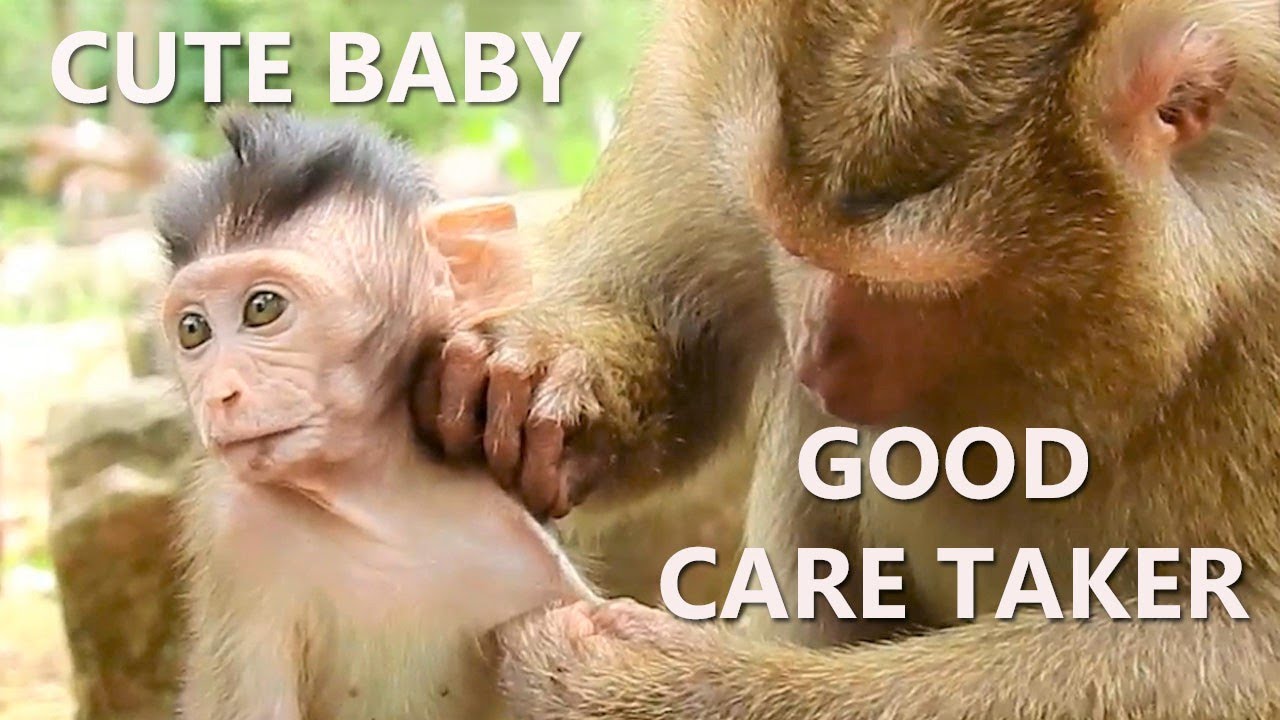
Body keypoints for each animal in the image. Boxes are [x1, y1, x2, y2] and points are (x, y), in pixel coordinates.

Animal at [152, 110, 594, 720]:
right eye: (193, 329)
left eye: (262, 308)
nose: (218, 393)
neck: (380, 502)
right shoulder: (235, 528)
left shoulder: (525, 558)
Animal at [418, 0, 1280, 717]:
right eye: (789, 241)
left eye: (911, 290)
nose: (819, 350)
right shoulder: (707, 61)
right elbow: (666, 326)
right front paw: (538, 381)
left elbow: (1246, 645)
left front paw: (664, 688)